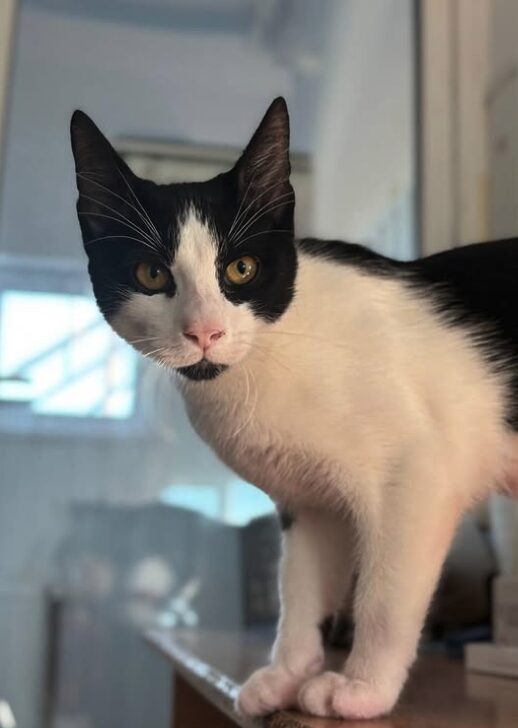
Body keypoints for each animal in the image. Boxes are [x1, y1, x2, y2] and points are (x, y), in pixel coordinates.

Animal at [72, 98, 518, 724]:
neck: (272, 355)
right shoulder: (310, 503)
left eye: (241, 269)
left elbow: (384, 597)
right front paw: (287, 675)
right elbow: (300, 589)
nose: (204, 332)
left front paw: (362, 688)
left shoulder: (418, 478)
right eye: (151, 274)